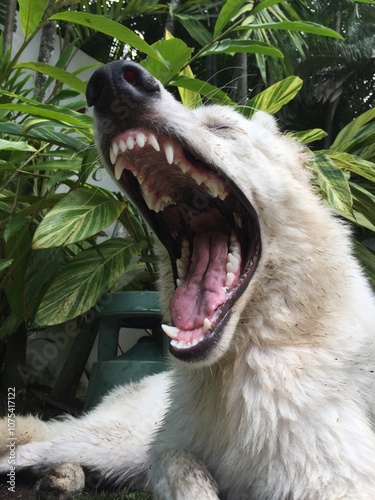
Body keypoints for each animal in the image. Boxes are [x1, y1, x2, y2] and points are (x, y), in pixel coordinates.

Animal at [0, 63, 375, 500]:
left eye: (222, 128)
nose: (113, 78)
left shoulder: (336, 478)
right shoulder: (164, 447)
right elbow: (186, 470)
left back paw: (64, 476)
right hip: (114, 445)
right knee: (33, 443)